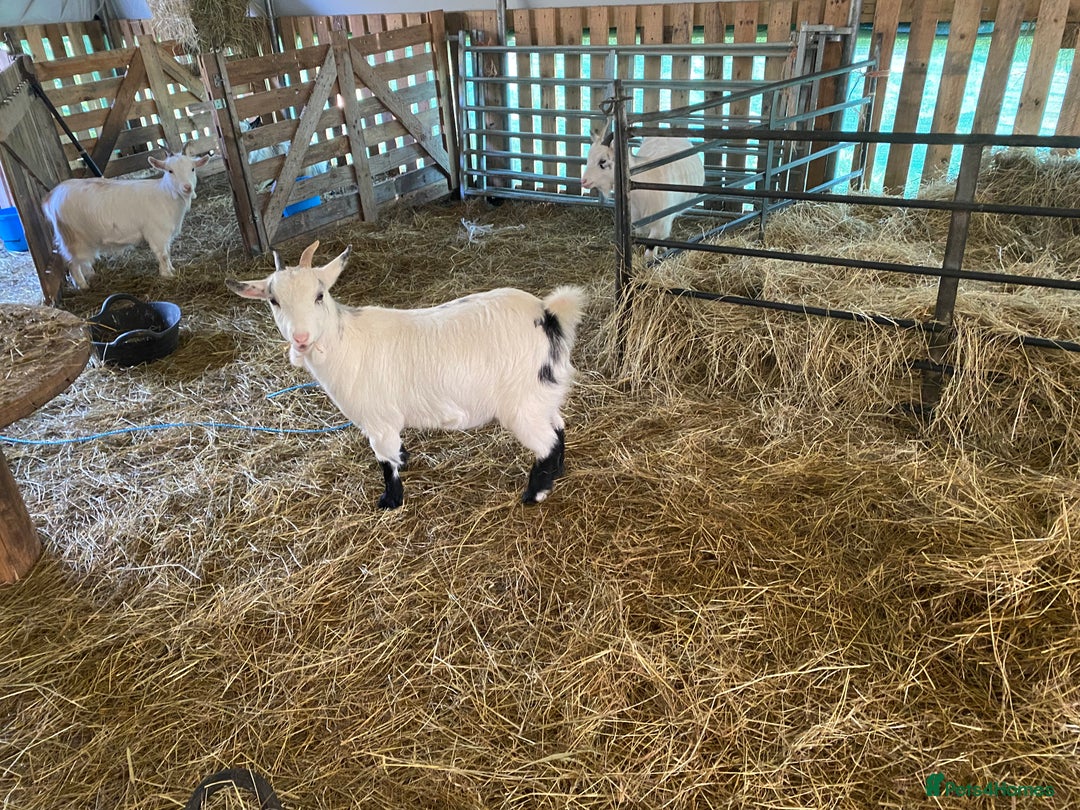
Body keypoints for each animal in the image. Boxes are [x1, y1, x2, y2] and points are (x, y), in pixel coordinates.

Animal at [41, 151, 209, 289]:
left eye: (192, 169)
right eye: (170, 171)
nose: (187, 187)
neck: (166, 195)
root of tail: (52, 195)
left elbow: (167, 252)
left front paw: (171, 269)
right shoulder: (157, 233)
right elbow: (163, 254)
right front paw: (167, 275)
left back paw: (90, 275)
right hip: (73, 238)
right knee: (72, 264)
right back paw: (83, 286)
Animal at [227, 241, 586, 509]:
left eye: (319, 295)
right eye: (274, 301)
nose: (300, 339)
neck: (346, 344)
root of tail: (549, 315)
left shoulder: (378, 422)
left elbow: (386, 462)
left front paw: (390, 500)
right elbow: (396, 453)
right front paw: (404, 459)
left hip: (521, 404)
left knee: (546, 442)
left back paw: (535, 492)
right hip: (541, 394)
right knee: (559, 428)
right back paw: (558, 472)